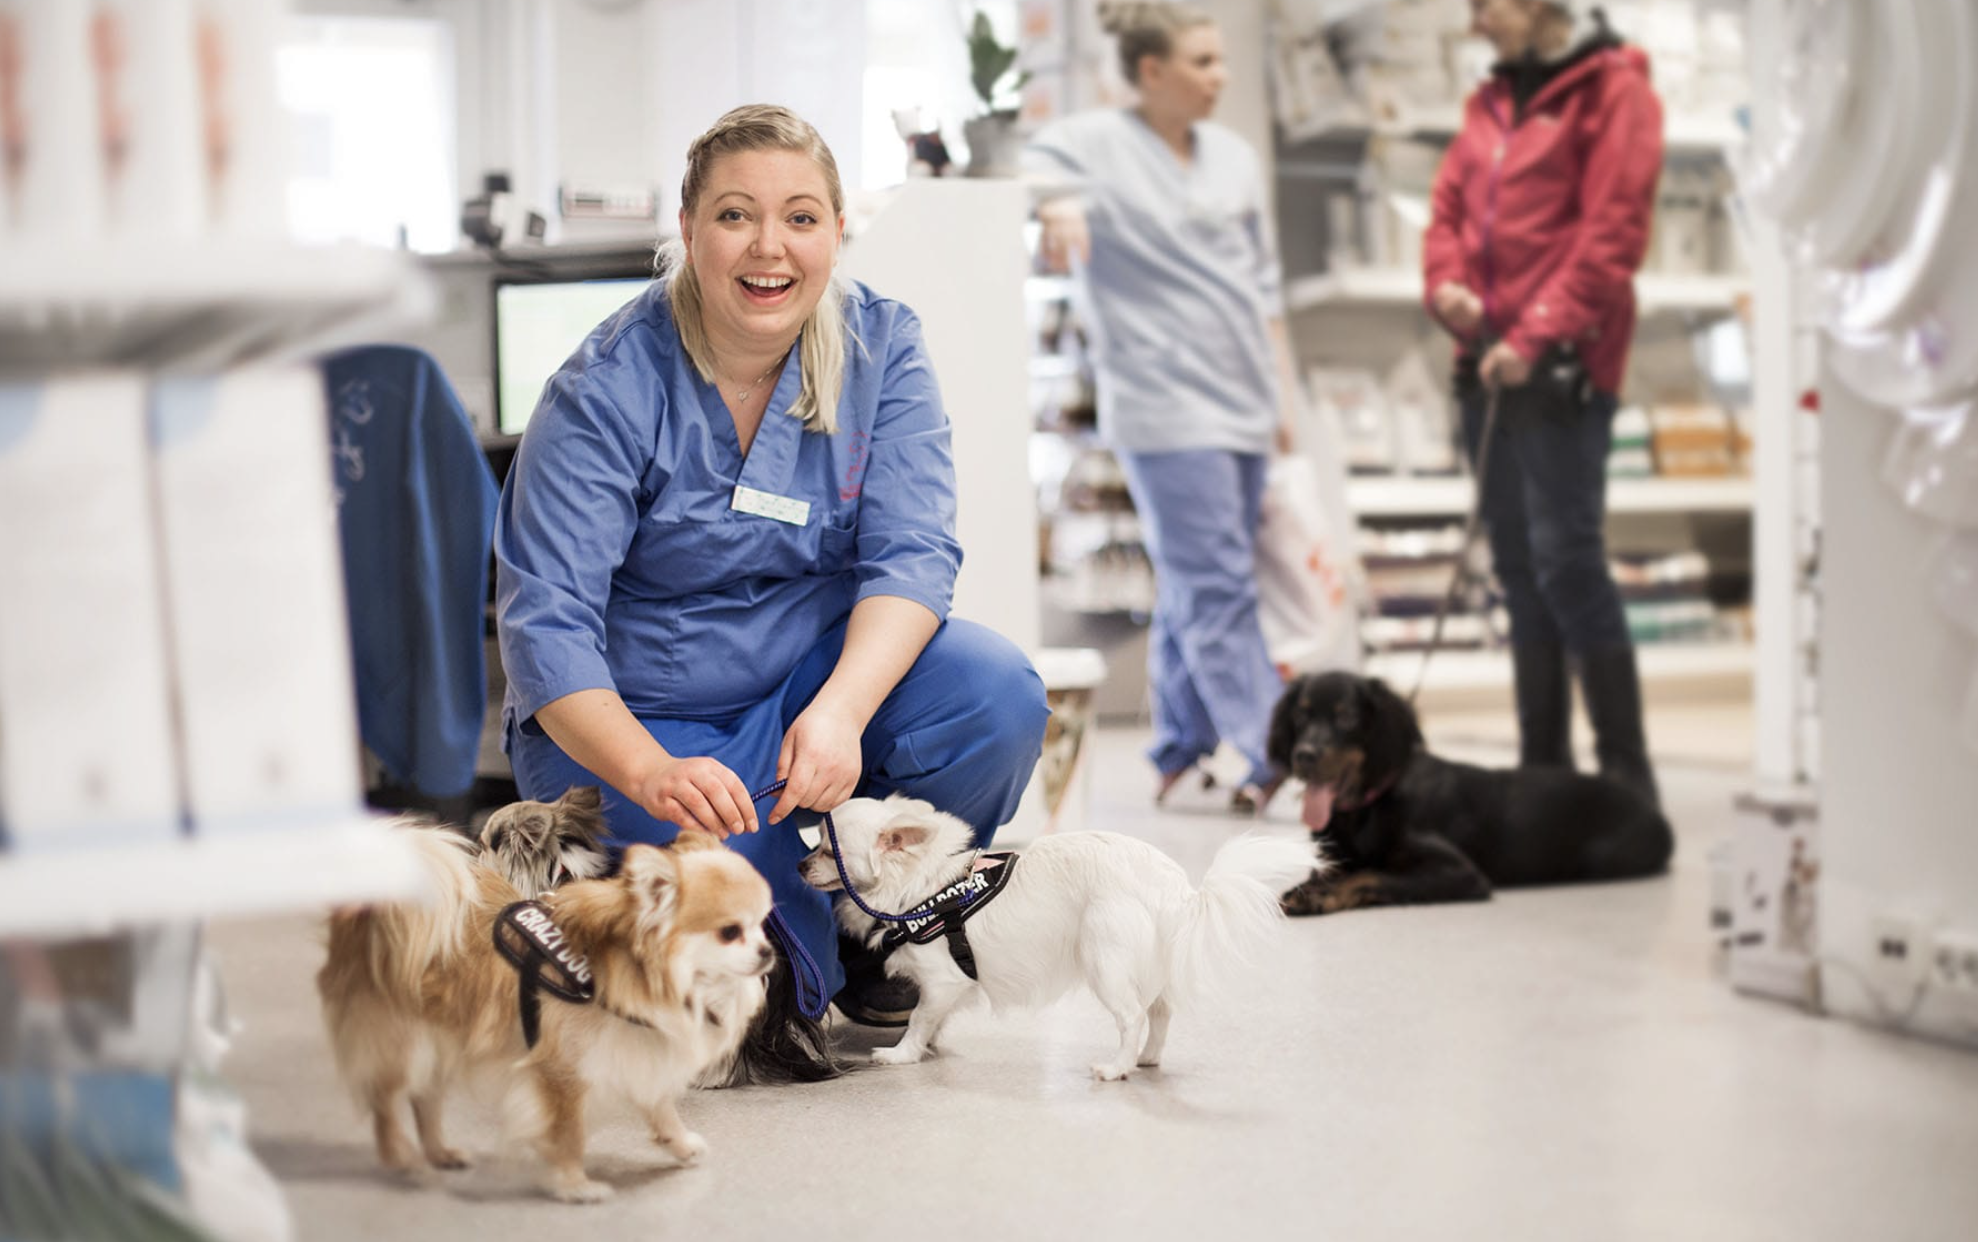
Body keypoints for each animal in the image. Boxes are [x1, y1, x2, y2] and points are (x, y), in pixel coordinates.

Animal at [1265, 672, 1669, 917]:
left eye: (1346, 717)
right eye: (1300, 716)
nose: (1303, 755)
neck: (1367, 807)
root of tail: (1658, 816)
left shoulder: (1463, 873)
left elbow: (1374, 874)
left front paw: (1323, 895)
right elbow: (1331, 871)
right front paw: (1308, 888)